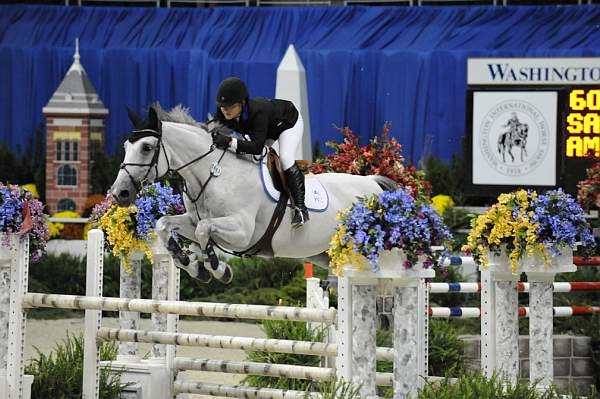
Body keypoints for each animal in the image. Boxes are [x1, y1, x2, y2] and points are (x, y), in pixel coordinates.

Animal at [110, 106, 396, 284]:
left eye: (147, 147)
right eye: (125, 145)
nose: (119, 193)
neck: (214, 174)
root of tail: (372, 183)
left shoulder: (242, 232)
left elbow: (204, 230)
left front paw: (217, 268)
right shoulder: (191, 221)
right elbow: (164, 224)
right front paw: (191, 264)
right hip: (326, 255)